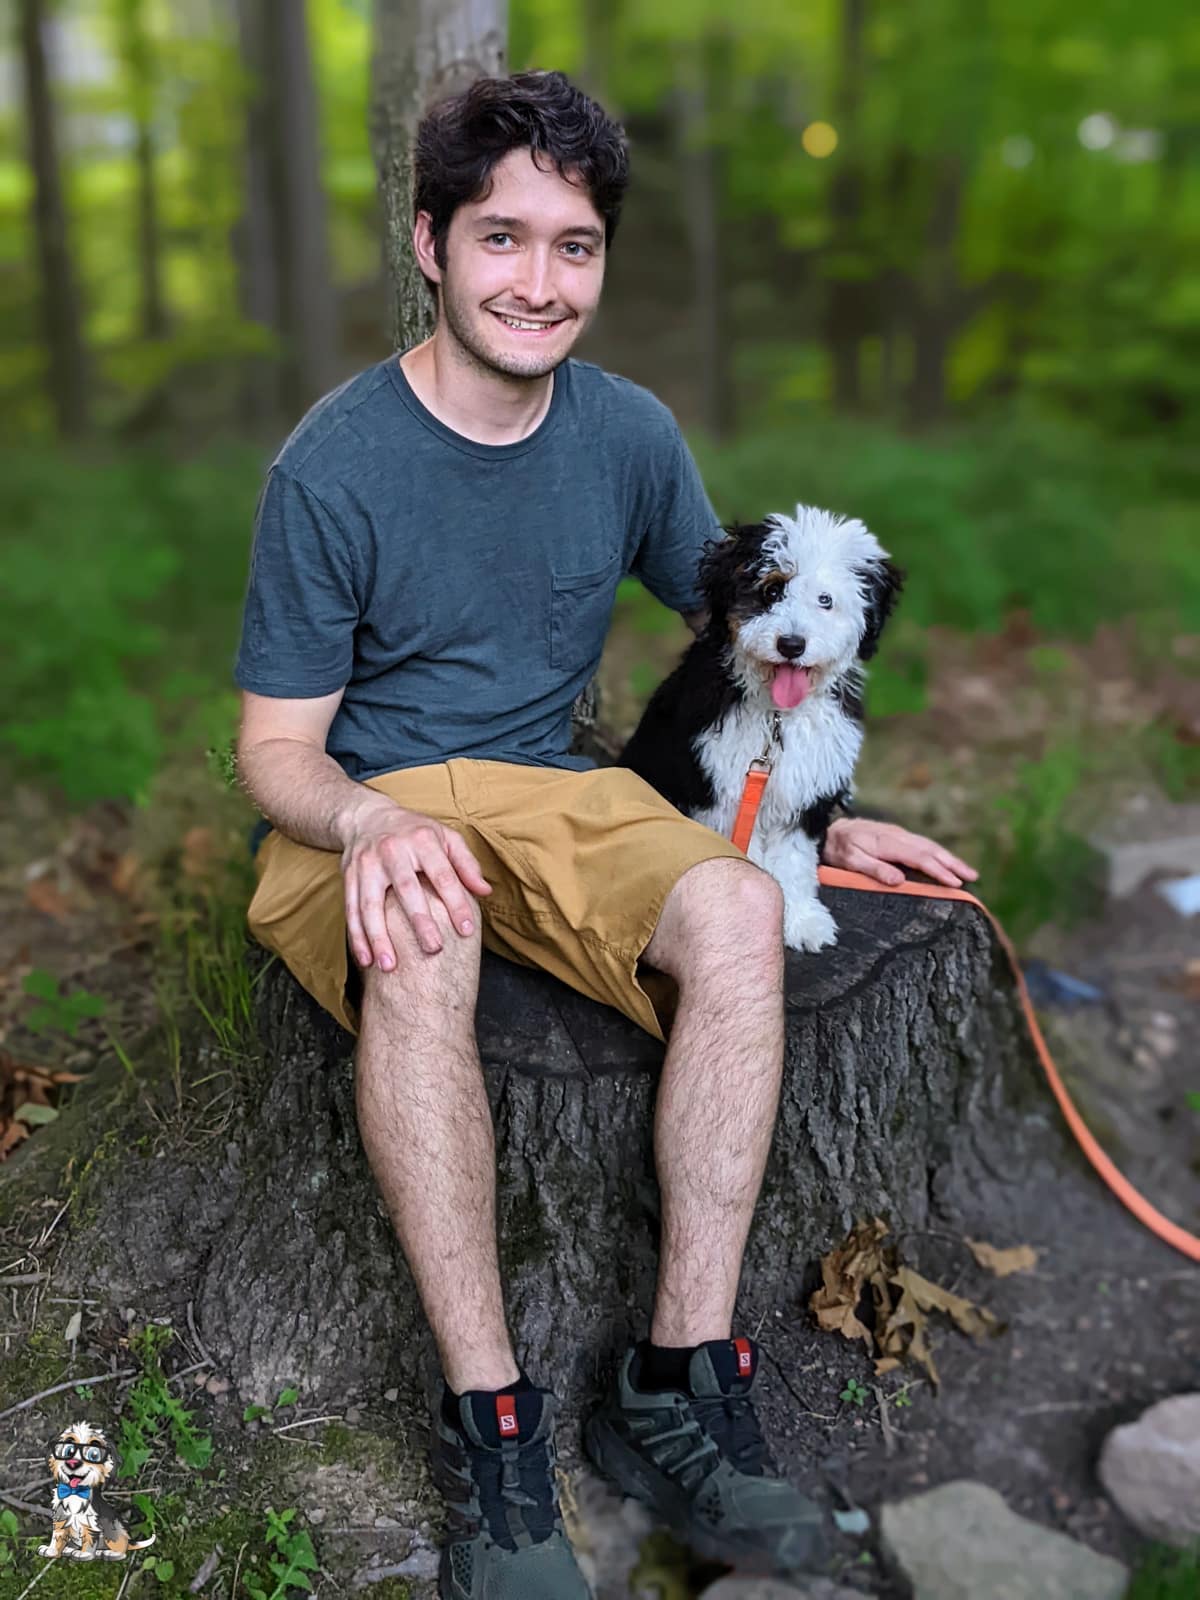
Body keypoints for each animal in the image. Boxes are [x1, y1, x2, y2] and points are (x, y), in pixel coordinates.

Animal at [39, 1420, 157, 1555]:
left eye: (94, 1455)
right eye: (69, 1450)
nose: (72, 1463)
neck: (75, 1493)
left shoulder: (91, 1523)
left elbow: (89, 1539)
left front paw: (83, 1554)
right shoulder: (61, 1518)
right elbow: (57, 1537)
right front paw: (51, 1550)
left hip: (115, 1530)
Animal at [620, 502, 902, 947]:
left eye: (825, 600)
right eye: (772, 590)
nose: (792, 644)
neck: (777, 717)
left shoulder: (805, 795)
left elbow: (795, 861)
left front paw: (802, 920)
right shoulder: (722, 794)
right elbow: (747, 861)